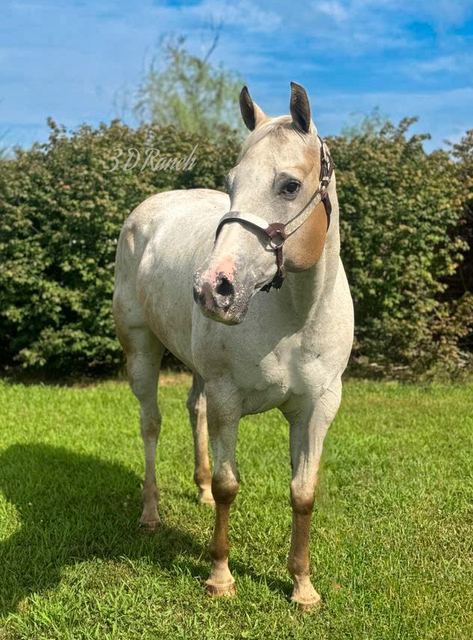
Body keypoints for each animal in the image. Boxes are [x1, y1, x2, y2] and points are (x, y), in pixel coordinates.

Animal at [113, 82, 354, 610]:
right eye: (231, 182)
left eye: (289, 185)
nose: (213, 288)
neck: (295, 318)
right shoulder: (228, 397)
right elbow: (230, 486)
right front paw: (220, 577)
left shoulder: (319, 408)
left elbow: (303, 492)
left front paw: (303, 588)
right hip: (142, 352)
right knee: (151, 425)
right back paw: (150, 513)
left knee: (193, 409)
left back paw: (198, 491)